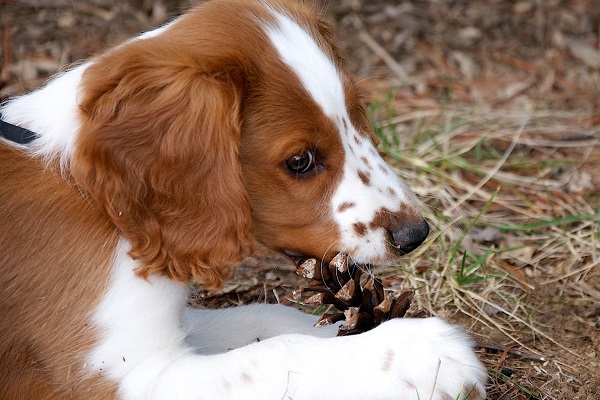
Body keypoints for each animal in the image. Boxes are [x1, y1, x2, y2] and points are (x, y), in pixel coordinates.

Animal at [0, 1, 488, 398]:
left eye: (357, 114)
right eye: (300, 160)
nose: (415, 234)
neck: (100, 201)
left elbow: (265, 320)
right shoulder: (124, 375)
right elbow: (278, 353)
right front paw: (422, 356)